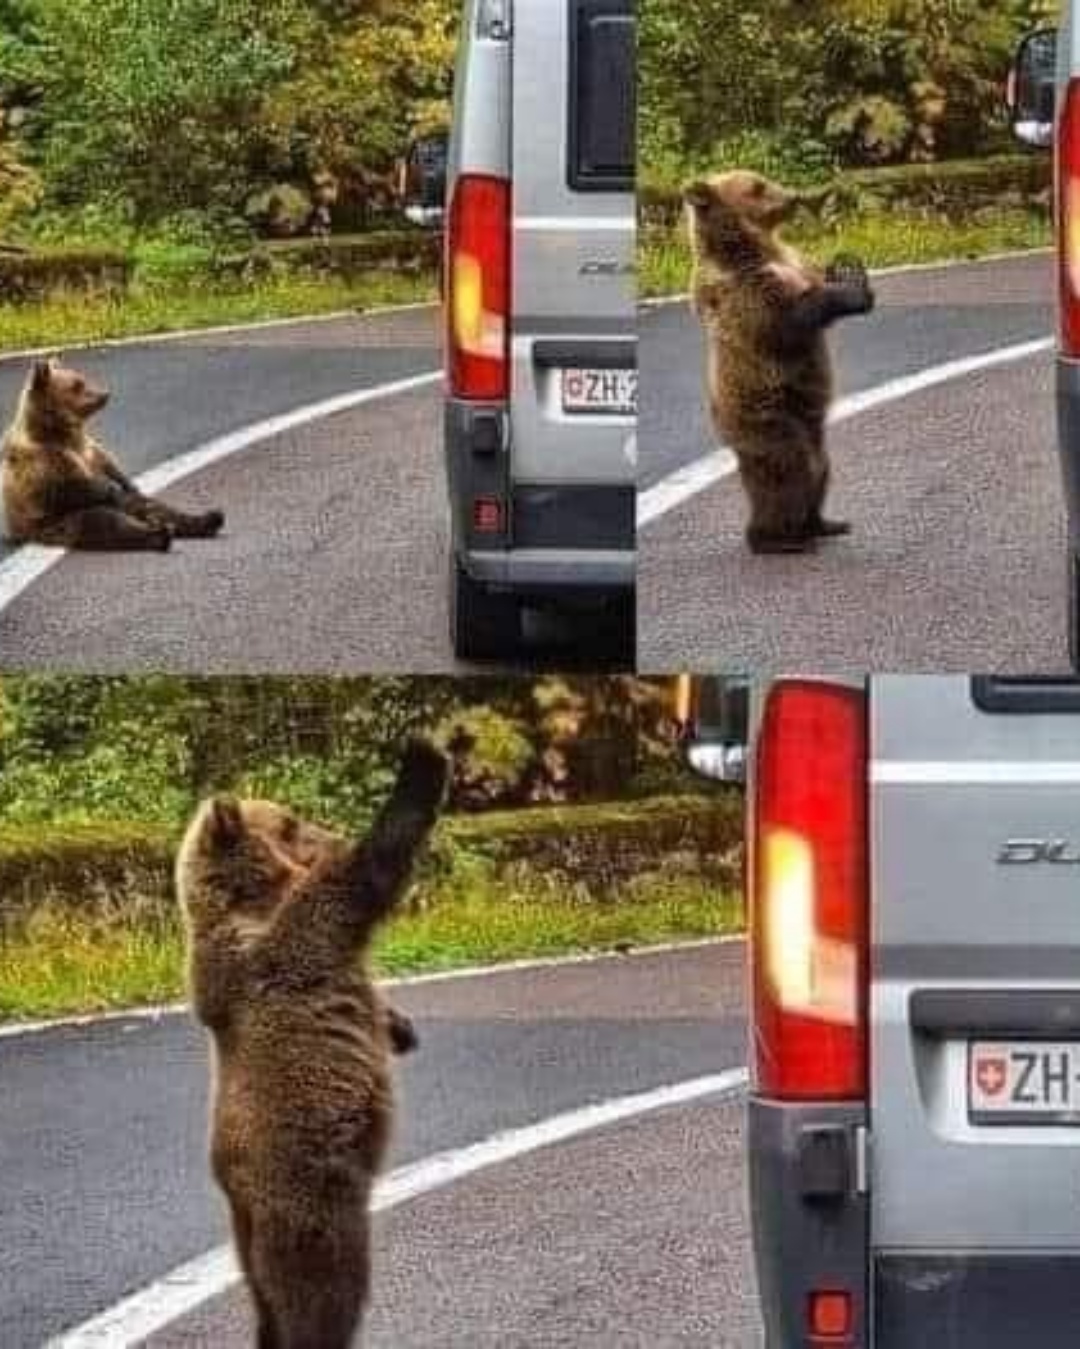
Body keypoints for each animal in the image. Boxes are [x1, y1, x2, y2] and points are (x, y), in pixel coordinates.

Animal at [1, 356, 225, 551]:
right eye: (77, 385)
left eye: (82, 377)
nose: (105, 393)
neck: (61, 432)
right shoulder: (41, 460)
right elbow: (65, 487)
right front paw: (109, 489)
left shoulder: (89, 450)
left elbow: (111, 467)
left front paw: (126, 484)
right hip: (57, 524)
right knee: (103, 521)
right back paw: (159, 534)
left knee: (153, 506)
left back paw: (208, 519)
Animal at [176, 738, 449, 1349]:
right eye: (290, 821)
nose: (330, 833)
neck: (249, 898)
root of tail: (237, 1191)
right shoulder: (299, 935)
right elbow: (367, 875)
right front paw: (425, 758)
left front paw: (402, 1028)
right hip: (311, 1201)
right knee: (324, 1293)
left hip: (251, 1241)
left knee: (269, 1303)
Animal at [683, 170, 875, 554]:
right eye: (757, 187)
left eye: (763, 178)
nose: (794, 196)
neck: (757, 248)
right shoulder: (744, 294)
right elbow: (788, 320)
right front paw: (848, 285)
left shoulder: (794, 263)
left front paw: (848, 270)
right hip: (768, 419)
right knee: (787, 471)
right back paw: (779, 539)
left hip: (811, 428)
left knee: (821, 467)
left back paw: (824, 524)